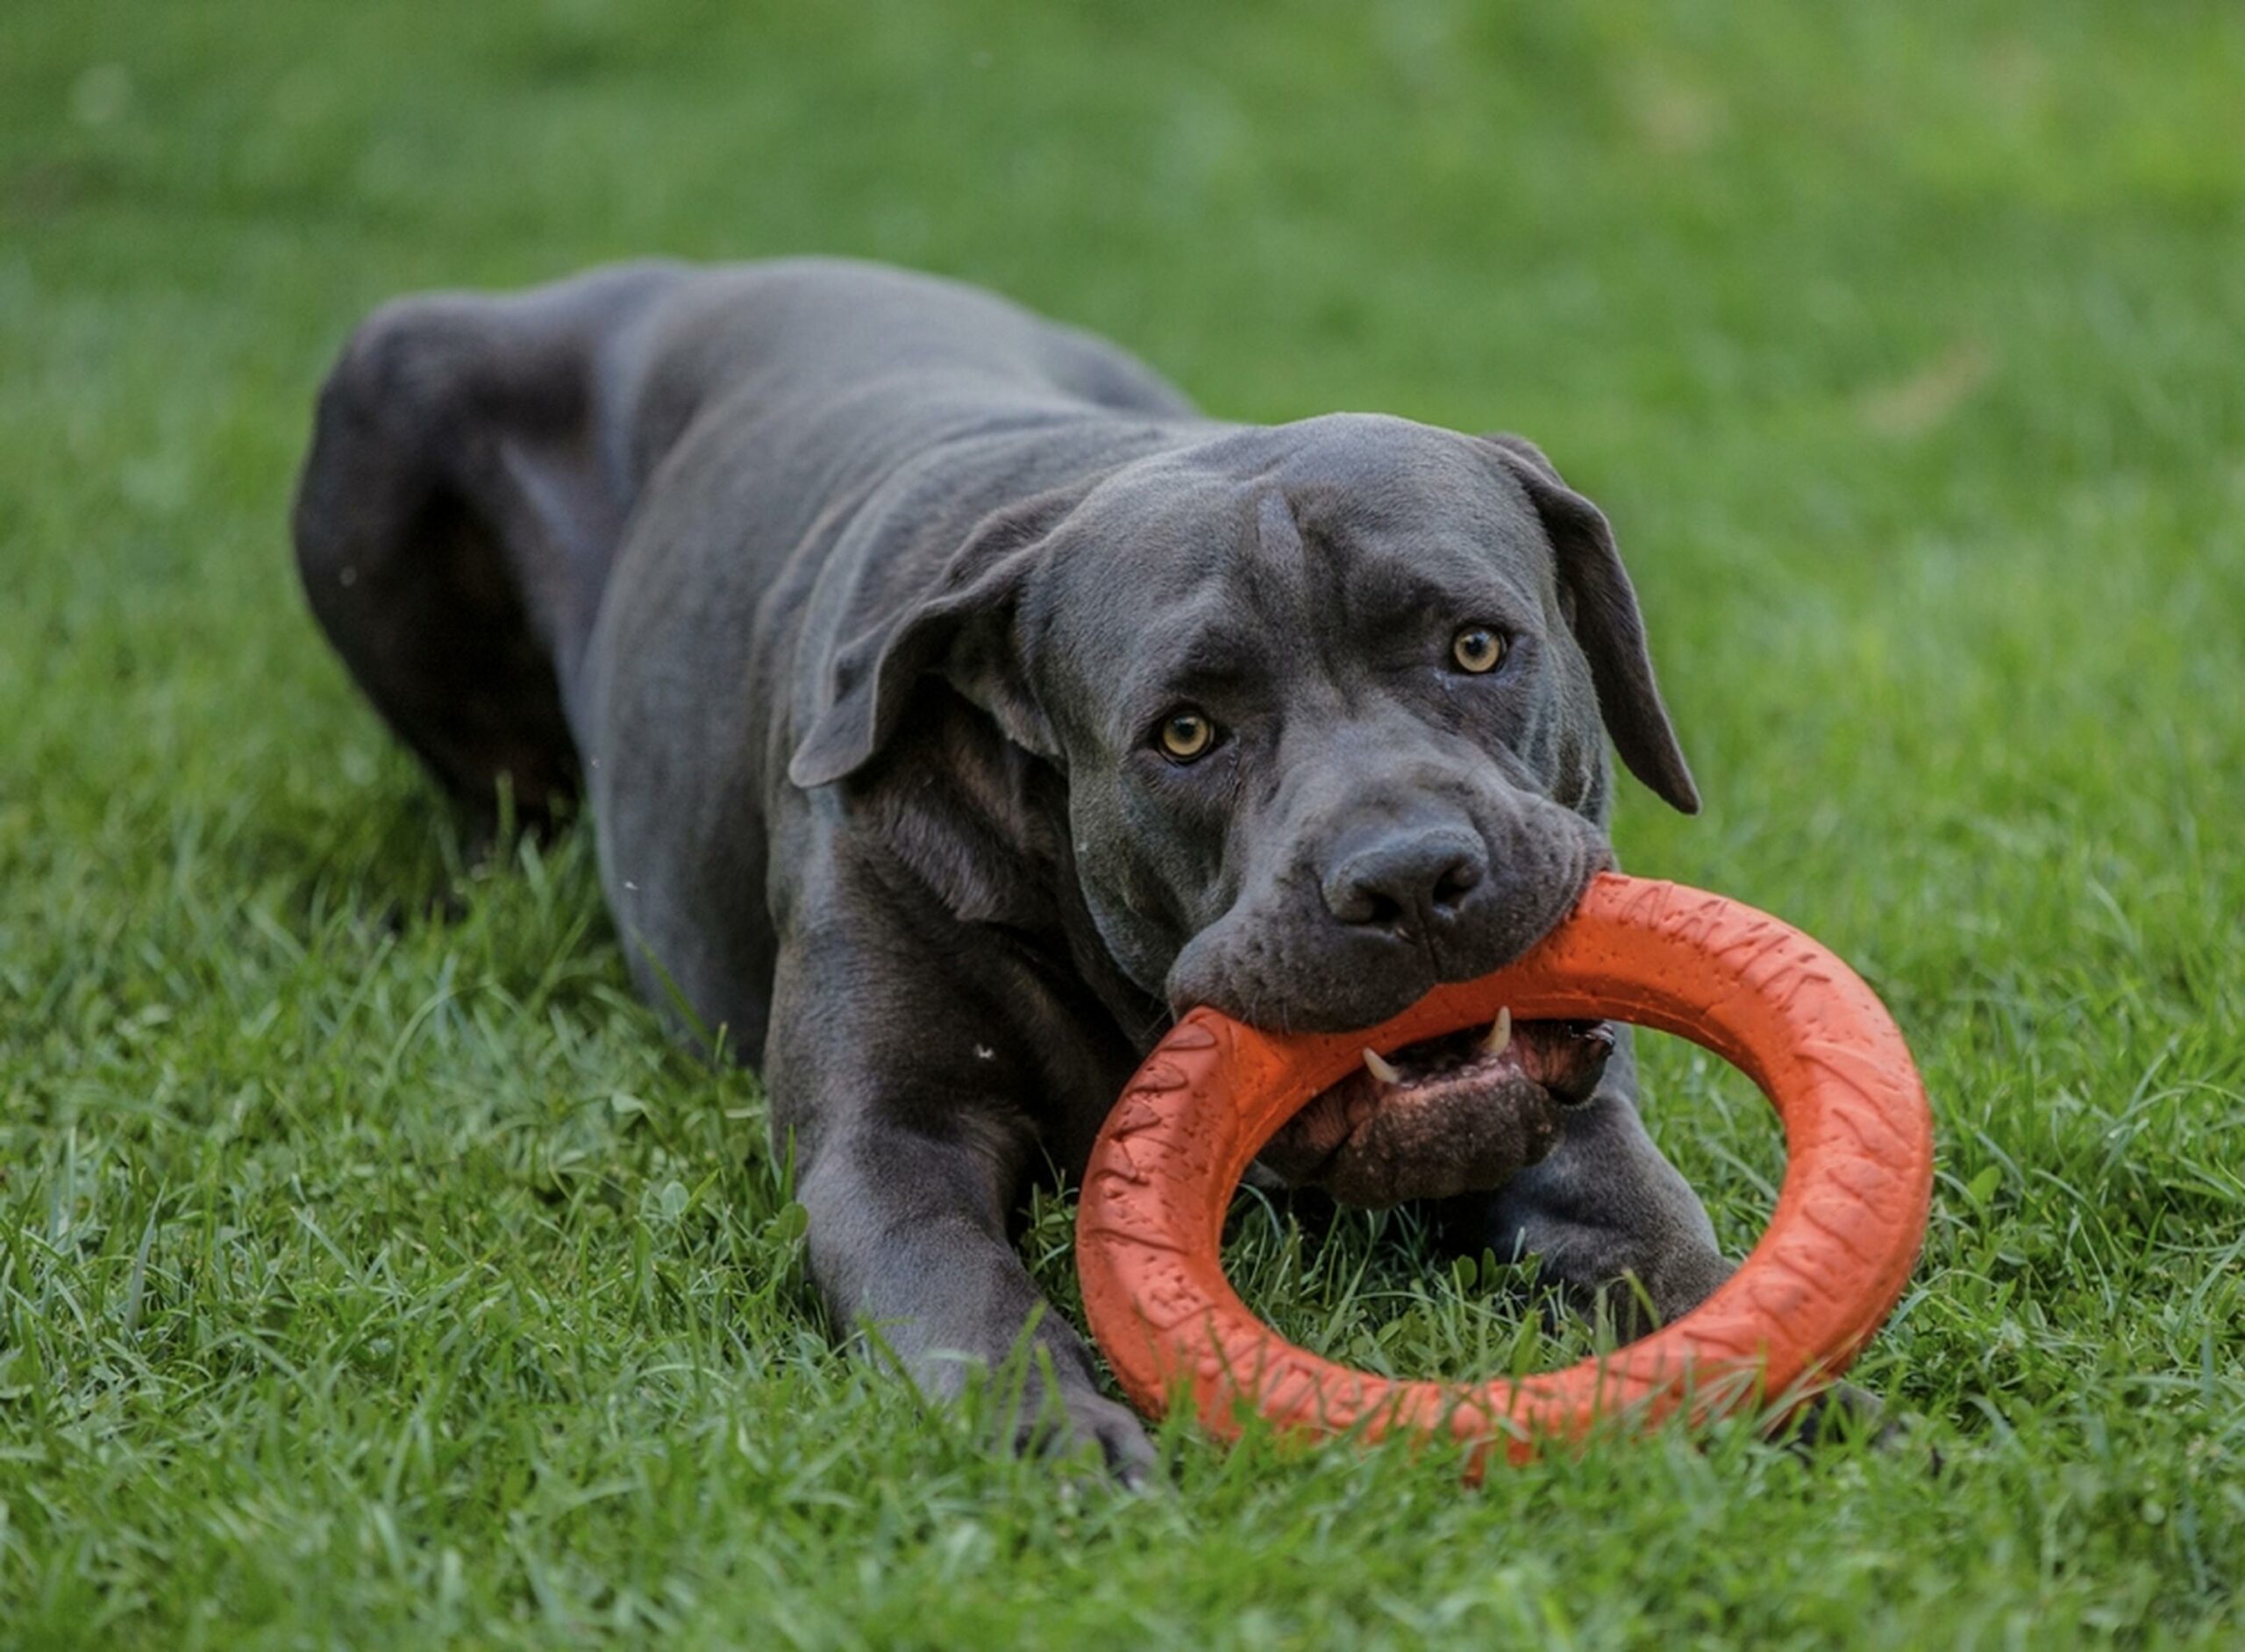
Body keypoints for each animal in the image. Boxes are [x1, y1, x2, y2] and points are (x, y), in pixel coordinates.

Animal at [294, 261, 1733, 1481]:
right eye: (1186, 733)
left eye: (1476, 646)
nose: (1410, 878)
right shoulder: (891, 1145)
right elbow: (967, 1305)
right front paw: (1055, 1441)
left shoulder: (1572, 1118)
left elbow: (1655, 1238)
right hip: (385, 399)